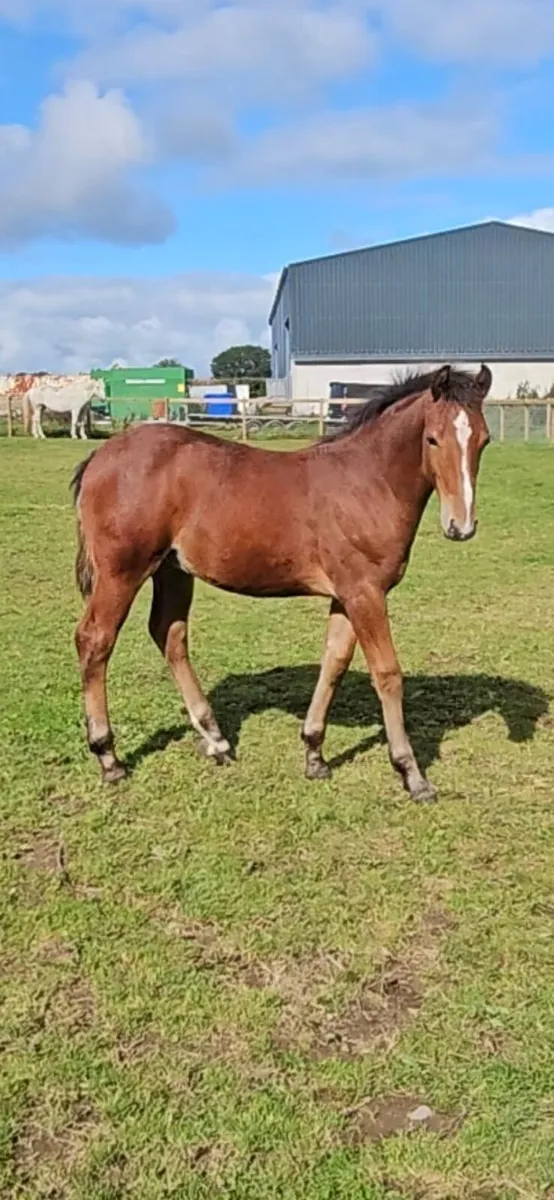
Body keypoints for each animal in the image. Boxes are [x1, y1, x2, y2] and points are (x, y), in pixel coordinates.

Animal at [72, 363, 492, 800]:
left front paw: (314, 754)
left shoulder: (347, 595)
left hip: (173, 570)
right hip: (121, 572)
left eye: (483, 440)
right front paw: (412, 774)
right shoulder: (366, 593)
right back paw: (108, 757)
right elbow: (387, 674)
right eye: (432, 438)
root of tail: (100, 457)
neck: (368, 482)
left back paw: (216, 740)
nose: (461, 527)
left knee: (169, 634)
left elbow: (334, 662)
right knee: (94, 640)